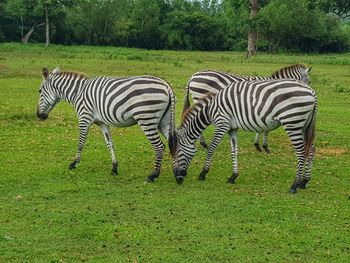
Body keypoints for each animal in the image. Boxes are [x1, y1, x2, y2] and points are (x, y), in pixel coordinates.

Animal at [36, 67, 175, 184]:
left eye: (40, 91)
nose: (39, 115)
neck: (78, 92)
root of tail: (166, 85)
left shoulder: (84, 118)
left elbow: (81, 142)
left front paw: (74, 163)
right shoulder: (102, 123)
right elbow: (110, 144)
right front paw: (114, 168)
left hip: (146, 119)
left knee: (159, 146)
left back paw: (153, 175)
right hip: (163, 121)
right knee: (174, 142)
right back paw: (177, 172)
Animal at [170, 78, 318, 194]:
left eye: (178, 152)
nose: (178, 178)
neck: (210, 110)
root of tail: (311, 91)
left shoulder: (222, 124)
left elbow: (212, 148)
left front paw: (203, 173)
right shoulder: (232, 128)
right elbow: (234, 151)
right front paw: (233, 176)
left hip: (292, 122)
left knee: (301, 151)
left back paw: (294, 185)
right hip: (304, 125)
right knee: (311, 149)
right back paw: (304, 181)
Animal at [183, 63, 312, 153]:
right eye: (309, 81)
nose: (309, 92)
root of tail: (193, 75)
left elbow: (262, 127)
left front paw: (258, 145)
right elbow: (266, 129)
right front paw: (265, 147)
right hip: (200, 97)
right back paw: (204, 144)